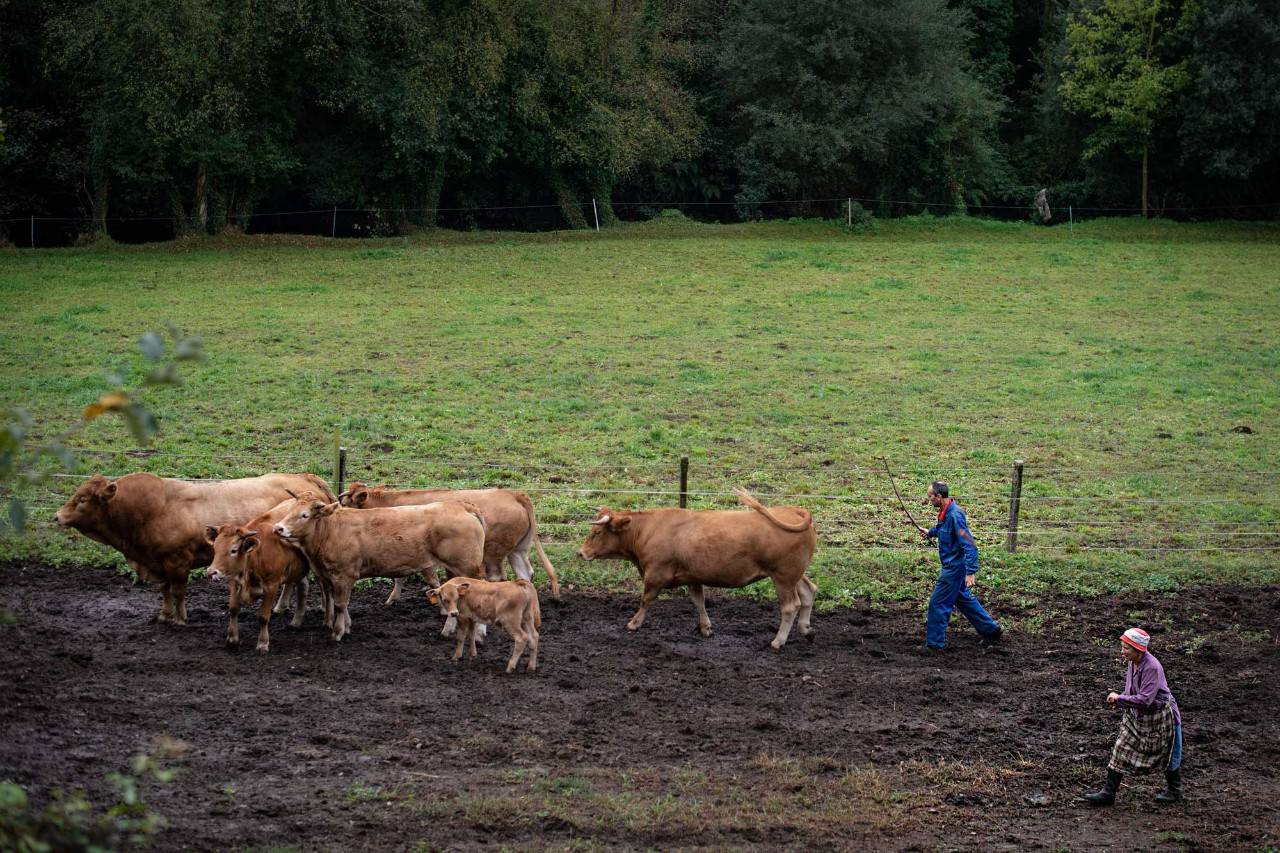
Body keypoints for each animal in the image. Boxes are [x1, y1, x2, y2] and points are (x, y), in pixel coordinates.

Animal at [55, 468, 335, 622]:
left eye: (82, 499)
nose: (57, 516)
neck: (151, 511)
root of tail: (305, 478)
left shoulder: (178, 562)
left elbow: (178, 591)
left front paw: (180, 618)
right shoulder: (158, 564)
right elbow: (165, 591)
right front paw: (164, 615)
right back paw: (281, 607)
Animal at [272, 491, 486, 637]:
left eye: (305, 515)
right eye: (290, 510)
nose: (278, 528)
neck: (331, 530)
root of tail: (462, 507)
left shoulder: (343, 575)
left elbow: (340, 604)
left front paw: (338, 632)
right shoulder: (329, 576)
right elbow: (341, 603)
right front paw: (347, 626)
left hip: (468, 566)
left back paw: (480, 631)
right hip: (453, 568)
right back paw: (448, 630)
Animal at [340, 481, 560, 601]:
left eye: (347, 503)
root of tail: (513, 494)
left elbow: (407, 577)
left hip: (493, 553)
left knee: (496, 576)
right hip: (517, 550)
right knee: (525, 573)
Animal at [576, 484, 814, 645]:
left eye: (596, 532)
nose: (581, 552)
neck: (648, 530)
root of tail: (795, 510)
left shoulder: (655, 575)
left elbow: (646, 600)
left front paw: (634, 623)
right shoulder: (693, 576)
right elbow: (699, 601)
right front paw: (705, 627)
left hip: (783, 578)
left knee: (790, 606)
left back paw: (778, 641)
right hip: (794, 575)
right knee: (809, 592)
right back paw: (805, 628)